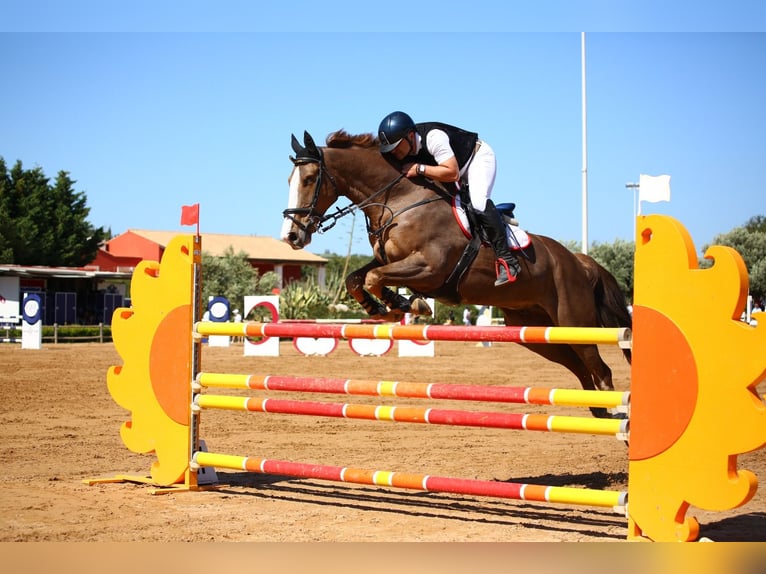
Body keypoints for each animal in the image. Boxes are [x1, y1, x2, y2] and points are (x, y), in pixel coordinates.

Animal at [284, 130, 636, 418]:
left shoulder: (429, 268)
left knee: (602, 372)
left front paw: (407, 304)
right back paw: (598, 411)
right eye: (290, 180)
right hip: (537, 330)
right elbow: (357, 278)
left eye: (309, 178)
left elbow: (375, 278)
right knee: (581, 369)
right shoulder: (387, 259)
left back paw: (619, 418)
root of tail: (580, 261)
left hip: (574, 321)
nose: (292, 235)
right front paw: (383, 307)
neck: (400, 200)